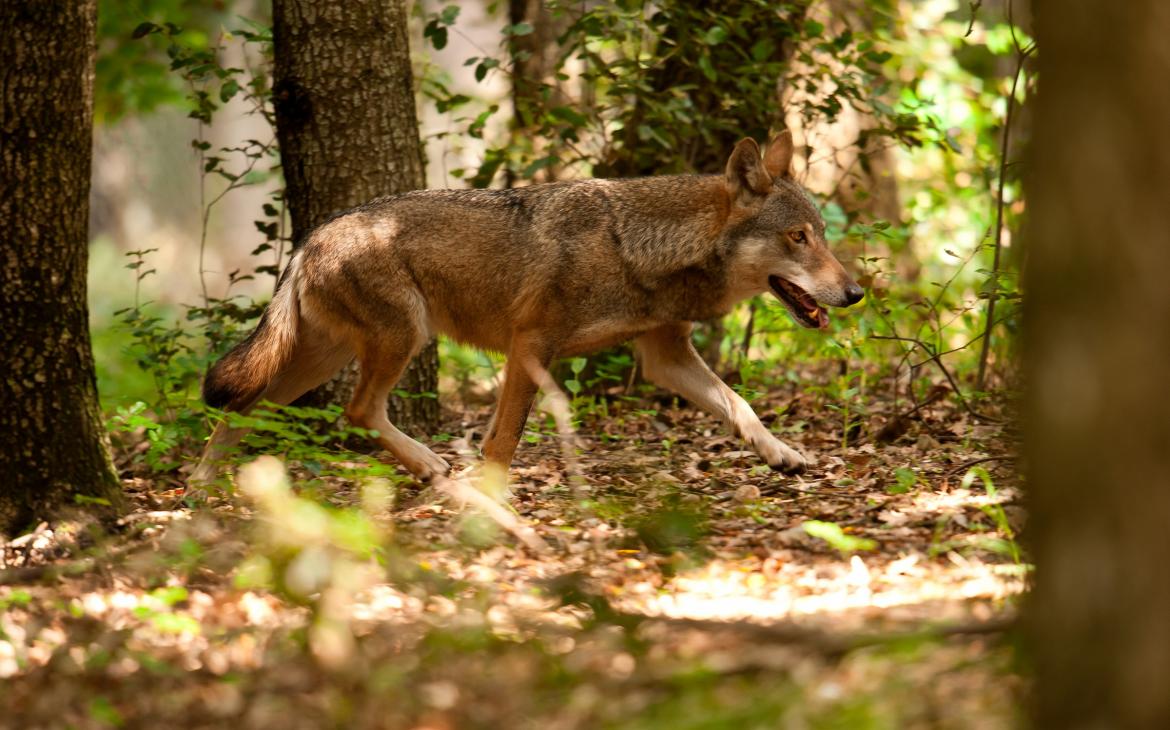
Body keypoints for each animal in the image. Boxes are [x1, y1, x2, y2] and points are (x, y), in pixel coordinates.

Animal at [189, 133, 861, 486]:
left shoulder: (663, 357)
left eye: (823, 235)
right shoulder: (530, 346)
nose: (856, 293)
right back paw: (430, 465)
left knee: (248, 406)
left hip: (320, 360)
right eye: (798, 238)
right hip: (401, 339)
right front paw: (494, 500)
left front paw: (781, 453)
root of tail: (312, 235)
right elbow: (505, 439)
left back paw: (200, 488)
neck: (641, 245)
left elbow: (740, 404)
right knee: (355, 411)